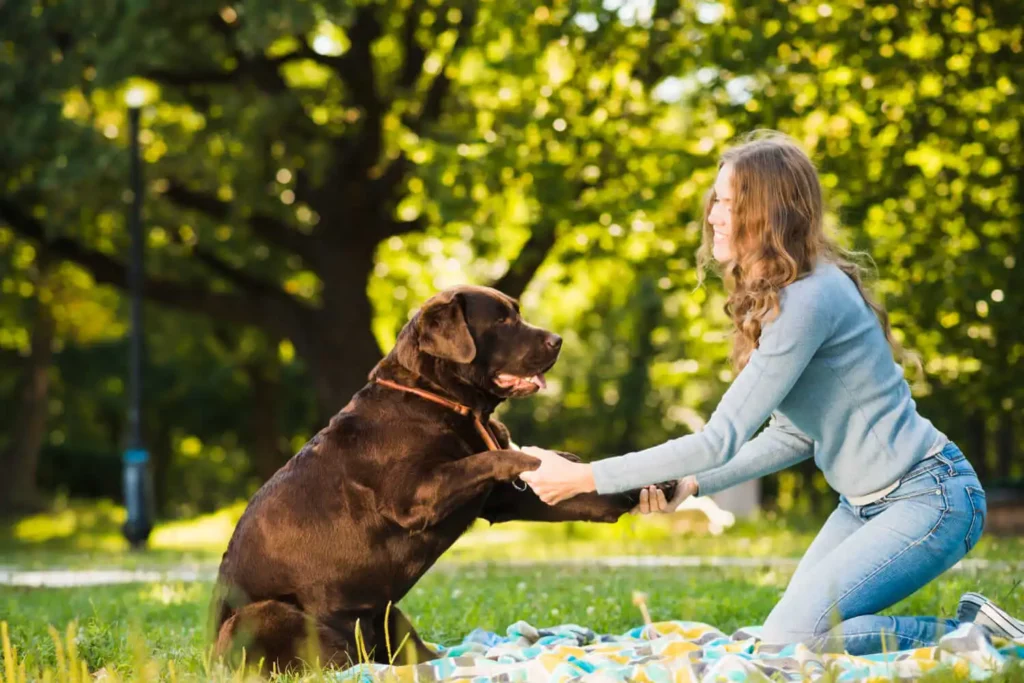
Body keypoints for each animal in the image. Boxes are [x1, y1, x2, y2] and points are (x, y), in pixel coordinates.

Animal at [208, 284, 671, 671]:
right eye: (501, 321)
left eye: (517, 314)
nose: (557, 340)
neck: (442, 399)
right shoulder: (412, 496)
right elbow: (492, 458)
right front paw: (541, 458)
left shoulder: (504, 500)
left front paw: (651, 484)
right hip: (265, 615)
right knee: (331, 663)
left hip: (387, 611)